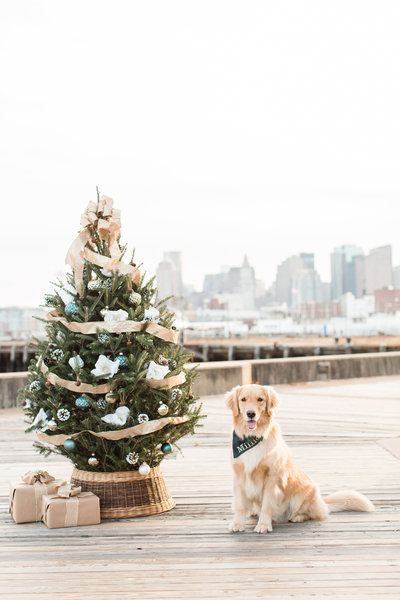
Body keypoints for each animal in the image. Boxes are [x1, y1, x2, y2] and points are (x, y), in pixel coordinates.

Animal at [227, 384, 374, 536]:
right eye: (243, 399)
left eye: (260, 399)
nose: (251, 413)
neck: (253, 436)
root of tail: (322, 502)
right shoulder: (239, 476)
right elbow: (240, 505)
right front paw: (237, 523)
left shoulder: (272, 478)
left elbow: (267, 505)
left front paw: (263, 525)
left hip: (304, 493)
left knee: (315, 514)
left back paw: (297, 517)